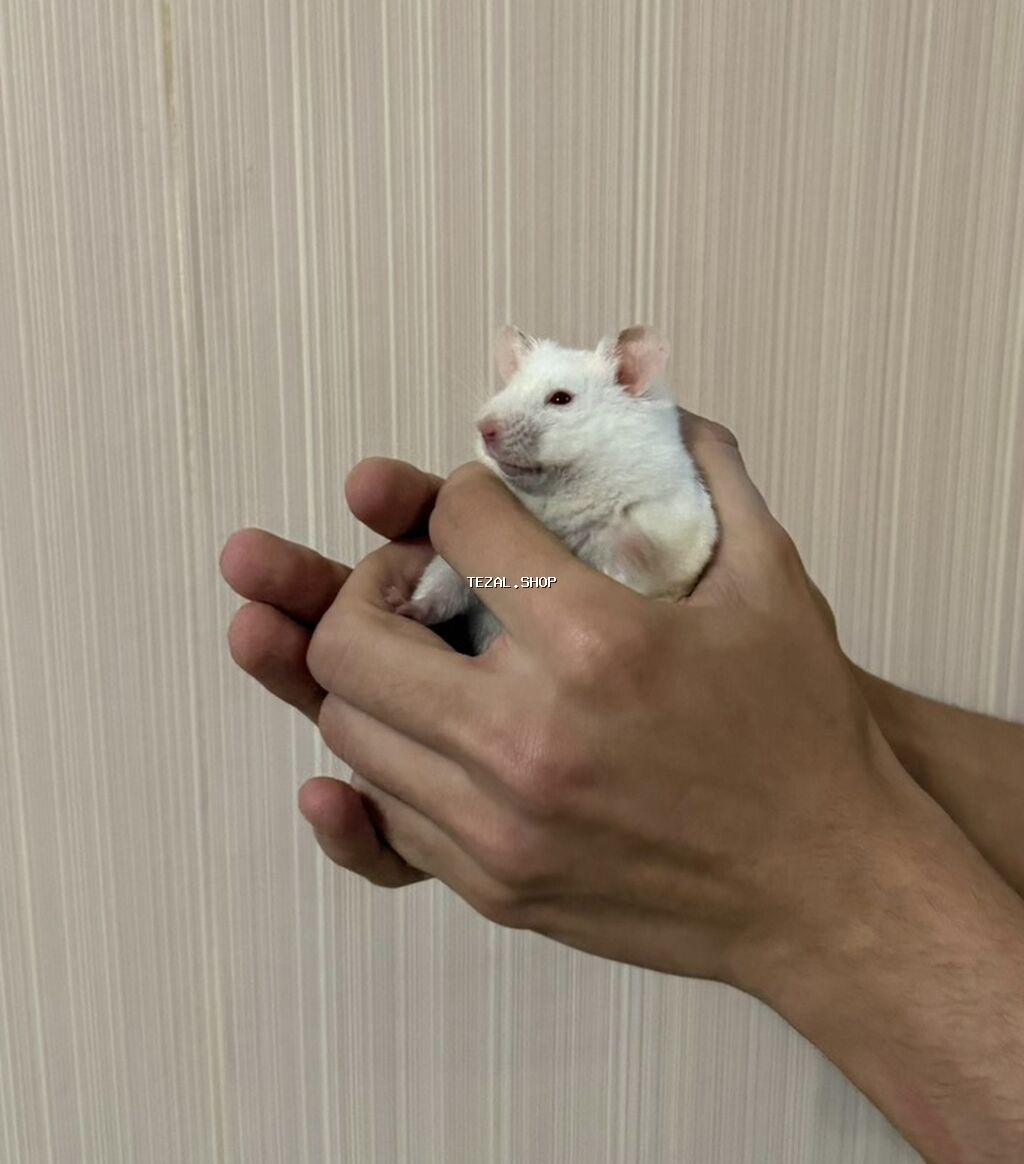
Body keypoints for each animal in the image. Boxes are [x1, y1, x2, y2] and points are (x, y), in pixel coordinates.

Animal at [398, 325, 718, 654]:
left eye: (561, 398)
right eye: (507, 389)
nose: (484, 428)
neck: (562, 491)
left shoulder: (682, 531)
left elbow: (655, 556)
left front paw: (634, 544)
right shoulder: (452, 576)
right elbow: (441, 585)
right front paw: (402, 608)